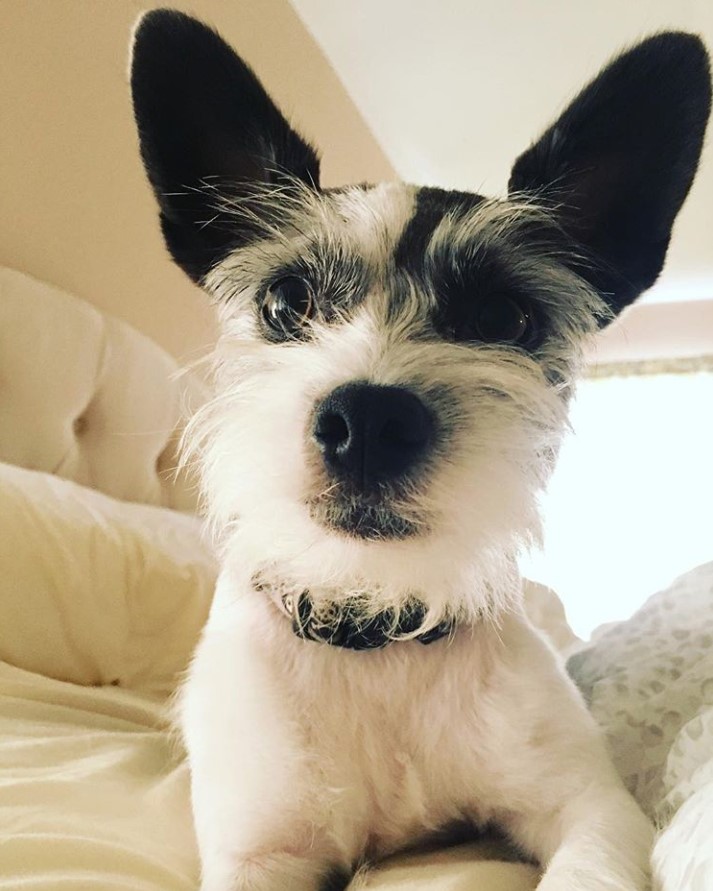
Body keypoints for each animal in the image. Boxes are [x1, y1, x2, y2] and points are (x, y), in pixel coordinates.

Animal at [131, 10, 708, 888]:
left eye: (504, 317)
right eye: (286, 302)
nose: (369, 421)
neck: (379, 634)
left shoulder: (593, 810)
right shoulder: (259, 851)